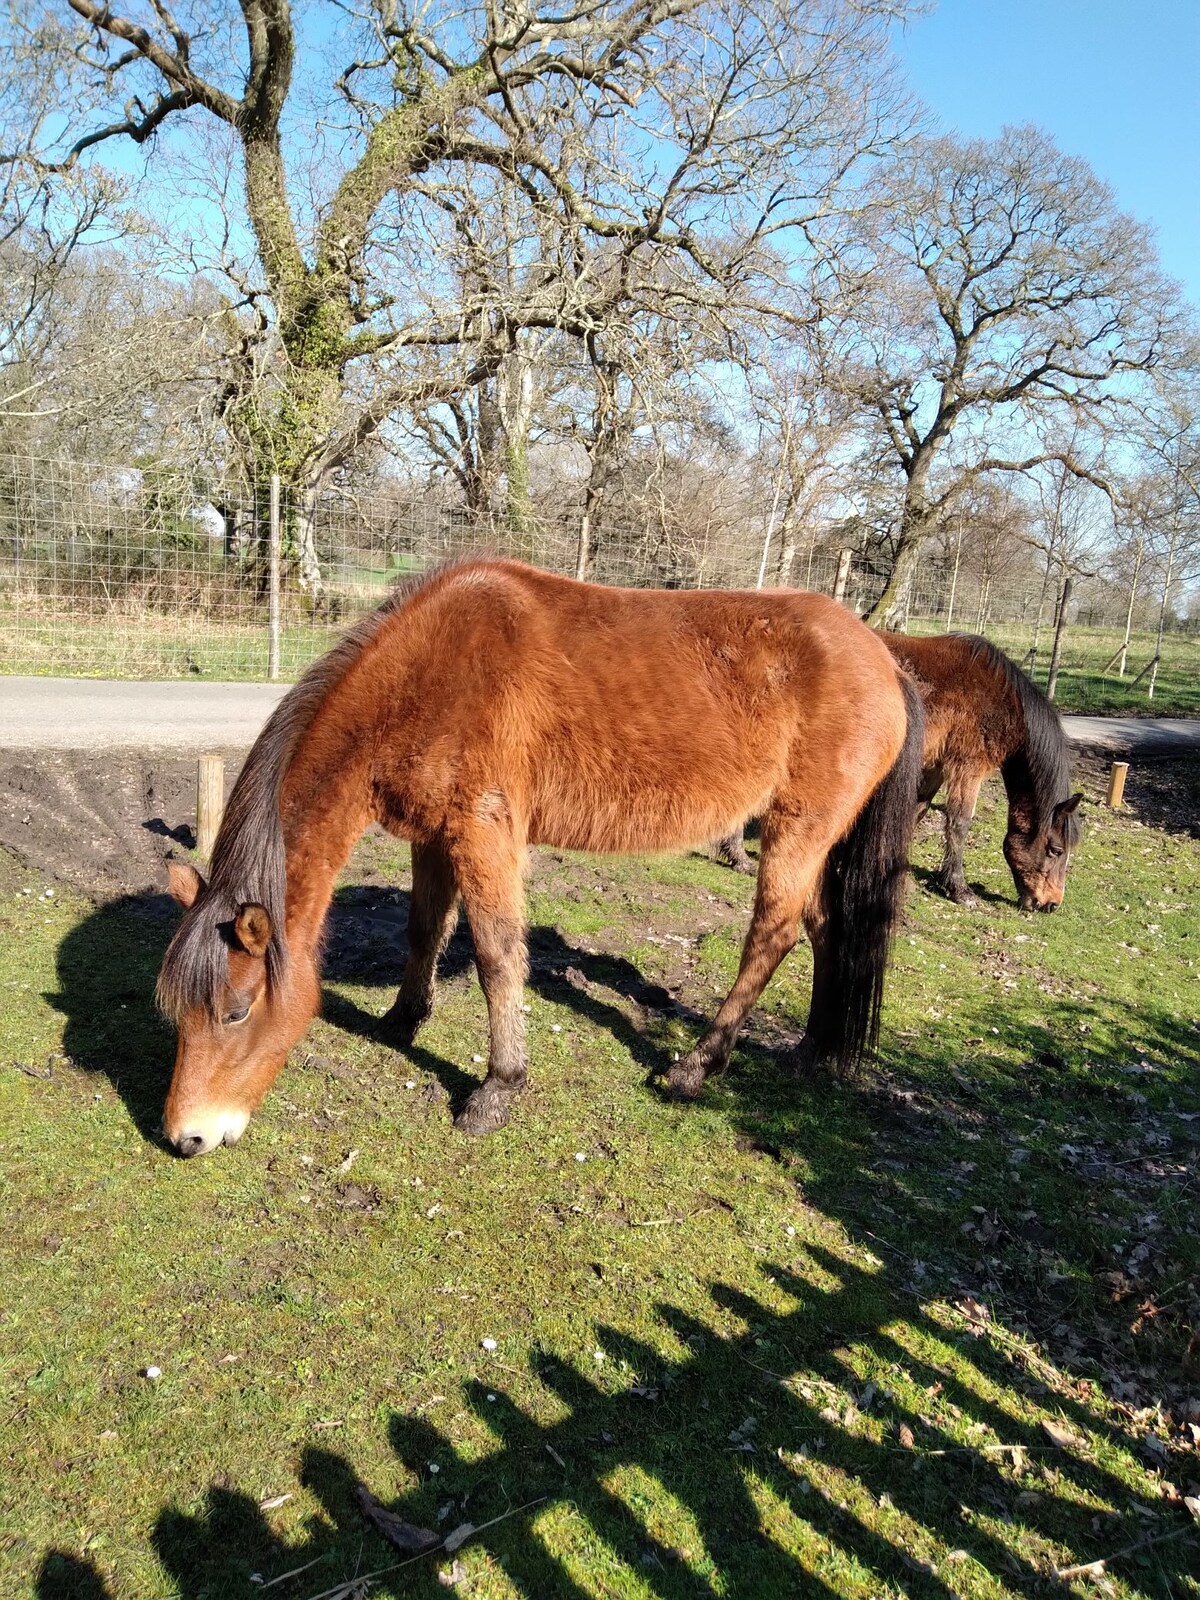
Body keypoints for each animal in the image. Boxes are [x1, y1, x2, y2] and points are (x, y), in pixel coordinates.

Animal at [160, 556, 928, 1158]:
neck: (425, 673)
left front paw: (498, 1089)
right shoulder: (434, 837)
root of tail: (888, 660)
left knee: (773, 933)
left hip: (798, 829)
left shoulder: (484, 832)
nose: (186, 1137)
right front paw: (404, 1019)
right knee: (826, 928)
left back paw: (695, 1067)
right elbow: (425, 930)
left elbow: (498, 956)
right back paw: (816, 1051)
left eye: (236, 1012)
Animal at [710, 633, 1088, 915]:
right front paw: (959, 888)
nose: (1051, 904)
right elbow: (959, 824)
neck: (1004, 699)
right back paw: (738, 855)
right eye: (1055, 850)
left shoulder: (933, 766)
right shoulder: (967, 767)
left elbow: (916, 812)